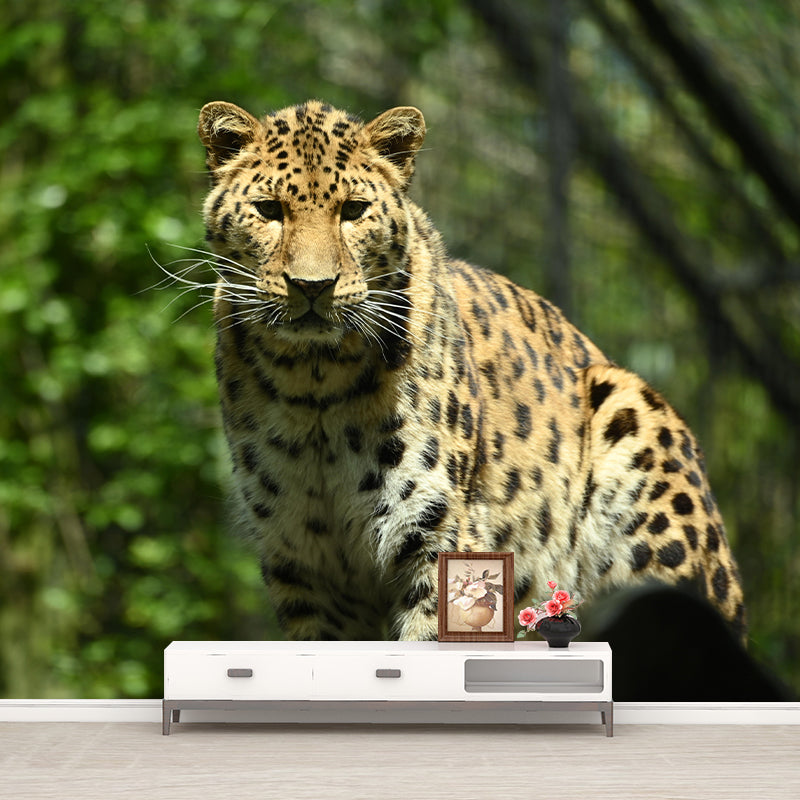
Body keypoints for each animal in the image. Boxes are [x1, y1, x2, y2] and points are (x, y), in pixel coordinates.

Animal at [192, 98, 746, 642]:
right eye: (269, 210)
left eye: (353, 211)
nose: (312, 286)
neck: (314, 383)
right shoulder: (306, 567)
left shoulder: (440, 534)